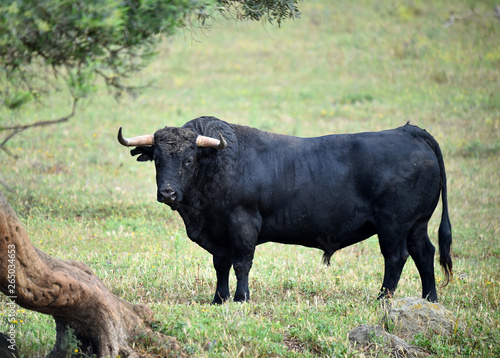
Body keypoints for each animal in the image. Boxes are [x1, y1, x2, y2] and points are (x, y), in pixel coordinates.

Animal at [118, 116, 454, 304]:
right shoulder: (218, 233)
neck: (218, 163)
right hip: (416, 224)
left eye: (188, 160)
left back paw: (382, 299)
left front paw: (240, 299)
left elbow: (241, 263)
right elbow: (220, 265)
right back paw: (430, 299)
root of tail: (408, 132)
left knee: (396, 258)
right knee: (424, 253)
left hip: (393, 225)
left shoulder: (242, 224)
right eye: (157, 159)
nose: (168, 193)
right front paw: (218, 299)